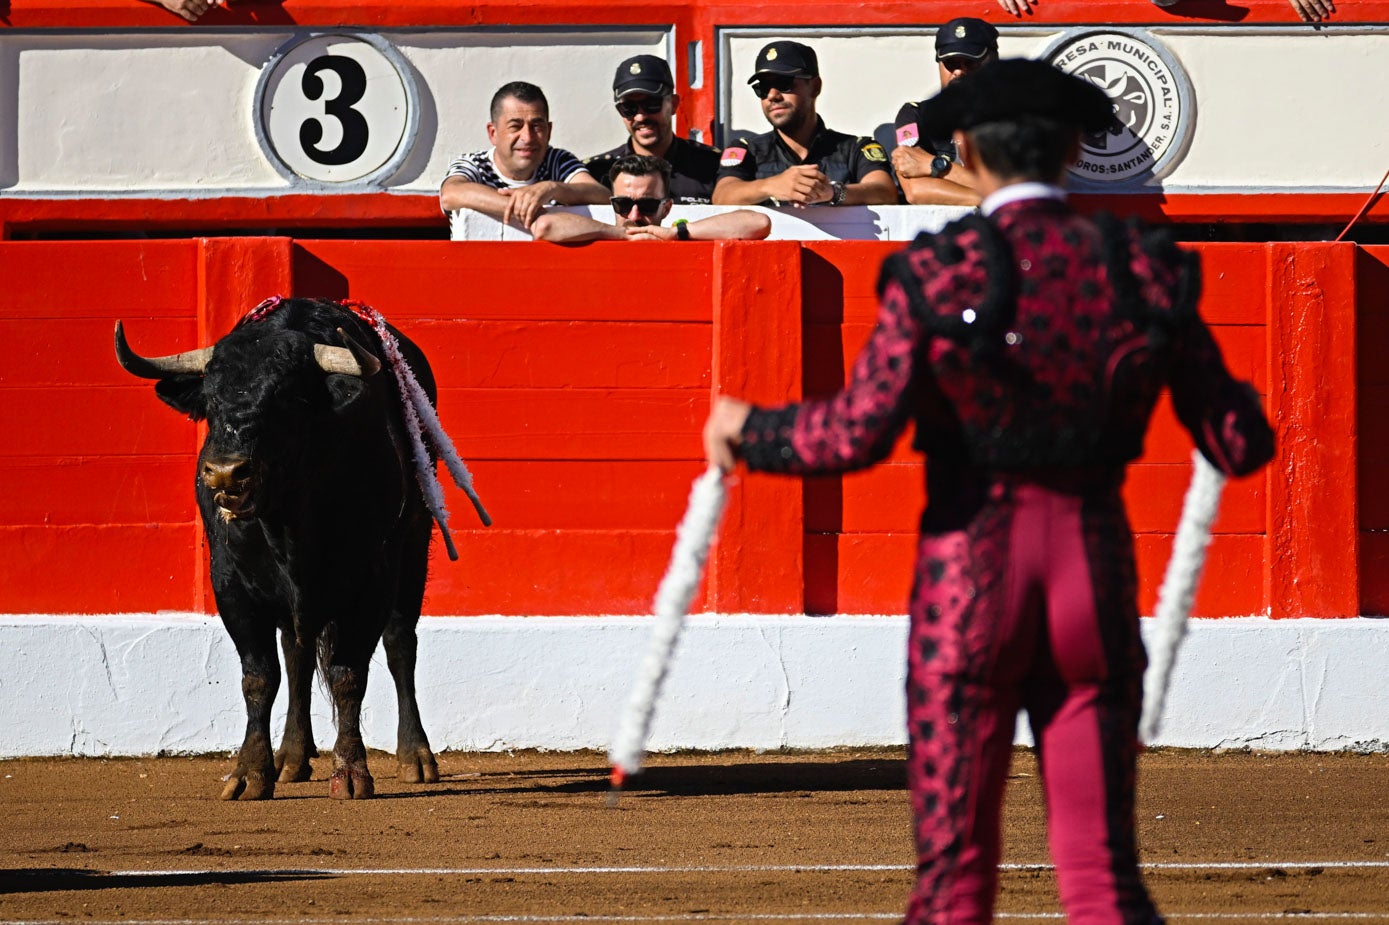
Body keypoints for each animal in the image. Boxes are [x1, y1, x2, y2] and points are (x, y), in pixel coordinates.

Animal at [118, 298, 450, 794]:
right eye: (210, 398)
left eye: (287, 400)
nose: (225, 472)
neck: (288, 521)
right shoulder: (230, 585)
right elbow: (260, 677)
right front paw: (249, 773)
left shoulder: (370, 580)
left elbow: (349, 673)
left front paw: (351, 774)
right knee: (296, 656)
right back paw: (291, 758)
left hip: (413, 545)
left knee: (399, 644)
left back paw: (415, 756)